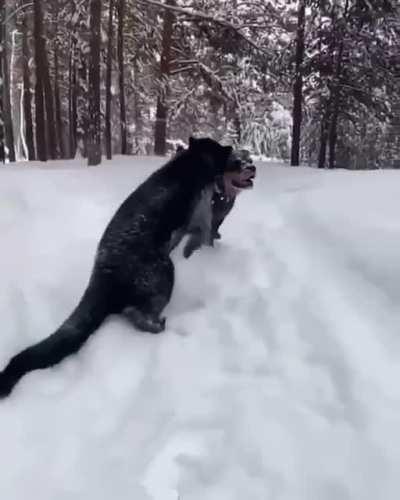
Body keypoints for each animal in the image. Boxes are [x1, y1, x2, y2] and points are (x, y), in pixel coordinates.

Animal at [0, 137, 242, 398]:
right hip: (164, 273)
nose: (232, 149)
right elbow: (201, 236)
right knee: (137, 312)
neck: (192, 161)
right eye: (220, 149)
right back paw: (154, 325)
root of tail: (104, 274)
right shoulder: (201, 216)